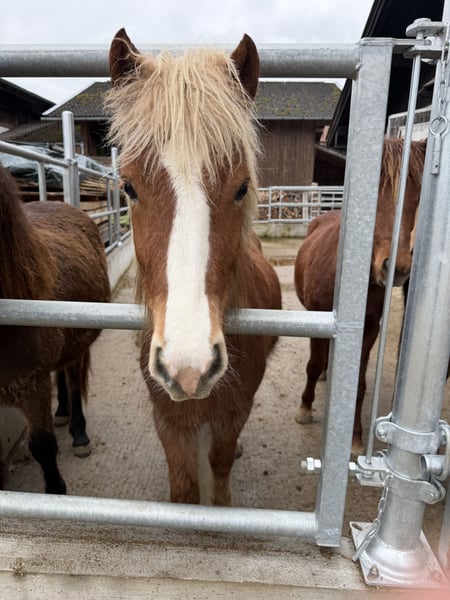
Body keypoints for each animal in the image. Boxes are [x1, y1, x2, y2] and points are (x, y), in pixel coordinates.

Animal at [0, 164, 110, 493]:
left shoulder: (31, 387)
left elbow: (43, 446)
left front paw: (56, 490)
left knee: (72, 379)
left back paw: (78, 433)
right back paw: (61, 411)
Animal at [106, 29, 281, 505]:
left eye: (241, 187)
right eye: (128, 186)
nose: (189, 368)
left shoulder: (234, 412)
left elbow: (219, 467)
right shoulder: (168, 418)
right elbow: (183, 489)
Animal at [294, 138, 426, 454]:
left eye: (417, 196)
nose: (396, 267)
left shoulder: (369, 327)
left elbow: (358, 385)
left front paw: (354, 437)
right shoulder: (316, 316)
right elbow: (312, 365)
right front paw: (305, 408)